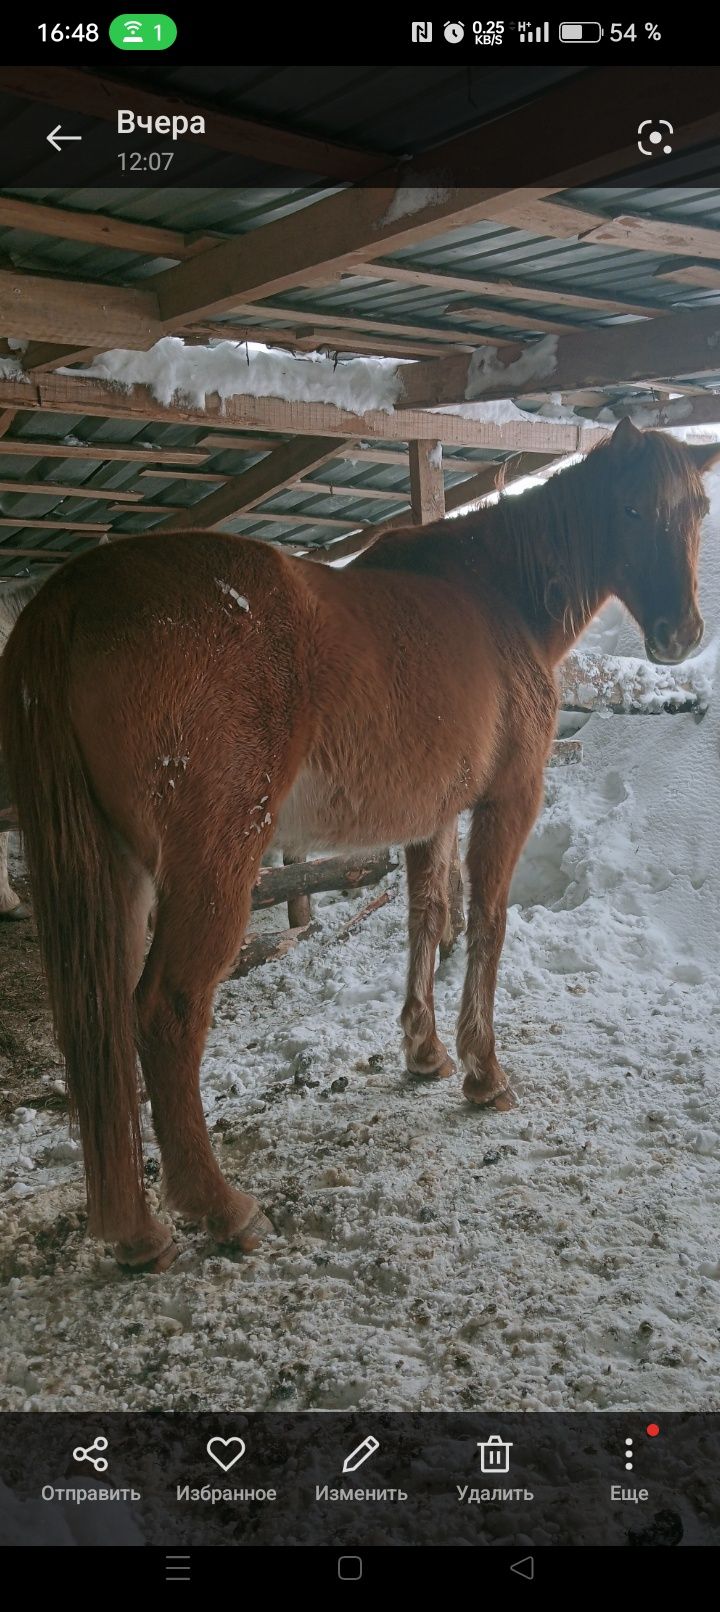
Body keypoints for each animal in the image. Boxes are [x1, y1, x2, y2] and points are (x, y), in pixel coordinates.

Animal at [0, 419, 718, 1270]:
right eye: (631, 508)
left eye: (699, 507)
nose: (680, 635)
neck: (496, 597)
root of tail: (70, 595)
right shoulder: (508, 800)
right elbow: (489, 925)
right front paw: (484, 1074)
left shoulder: (430, 816)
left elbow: (427, 917)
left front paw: (425, 1053)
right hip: (212, 865)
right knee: (165, 1012)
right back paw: (223, 1209)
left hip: (118, 871)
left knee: (105, 1023)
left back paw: (138, 1232)